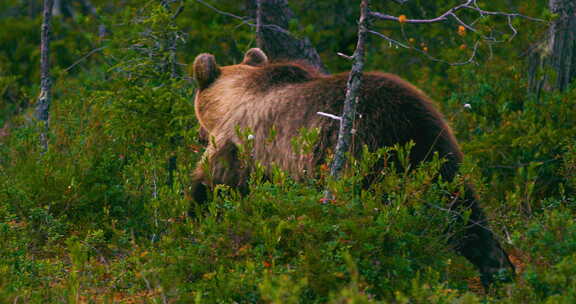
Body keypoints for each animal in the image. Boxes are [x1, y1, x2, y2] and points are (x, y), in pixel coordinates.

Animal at [191, 48, 516, 288]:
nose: (200, 135)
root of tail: (405, 124)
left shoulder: (242, 148)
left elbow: (212, 187)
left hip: (361, 155)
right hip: (437, 153)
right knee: (465, 212)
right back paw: (499, 273)